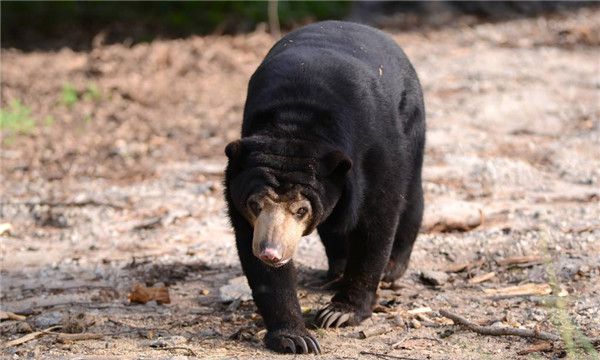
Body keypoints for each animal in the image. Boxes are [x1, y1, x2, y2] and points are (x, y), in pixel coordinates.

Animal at [225, 20, 426, 354]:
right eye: (255, 204)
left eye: (301, 210)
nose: (271, 252)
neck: (295, 124)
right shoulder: (239, 189)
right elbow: (255, 256)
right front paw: (295, 338)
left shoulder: (375, 150)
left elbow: (377, 220)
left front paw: (340, 313)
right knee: (334, 227)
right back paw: (336, 271)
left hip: (412, 120)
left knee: (410, 195)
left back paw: (392, 268)